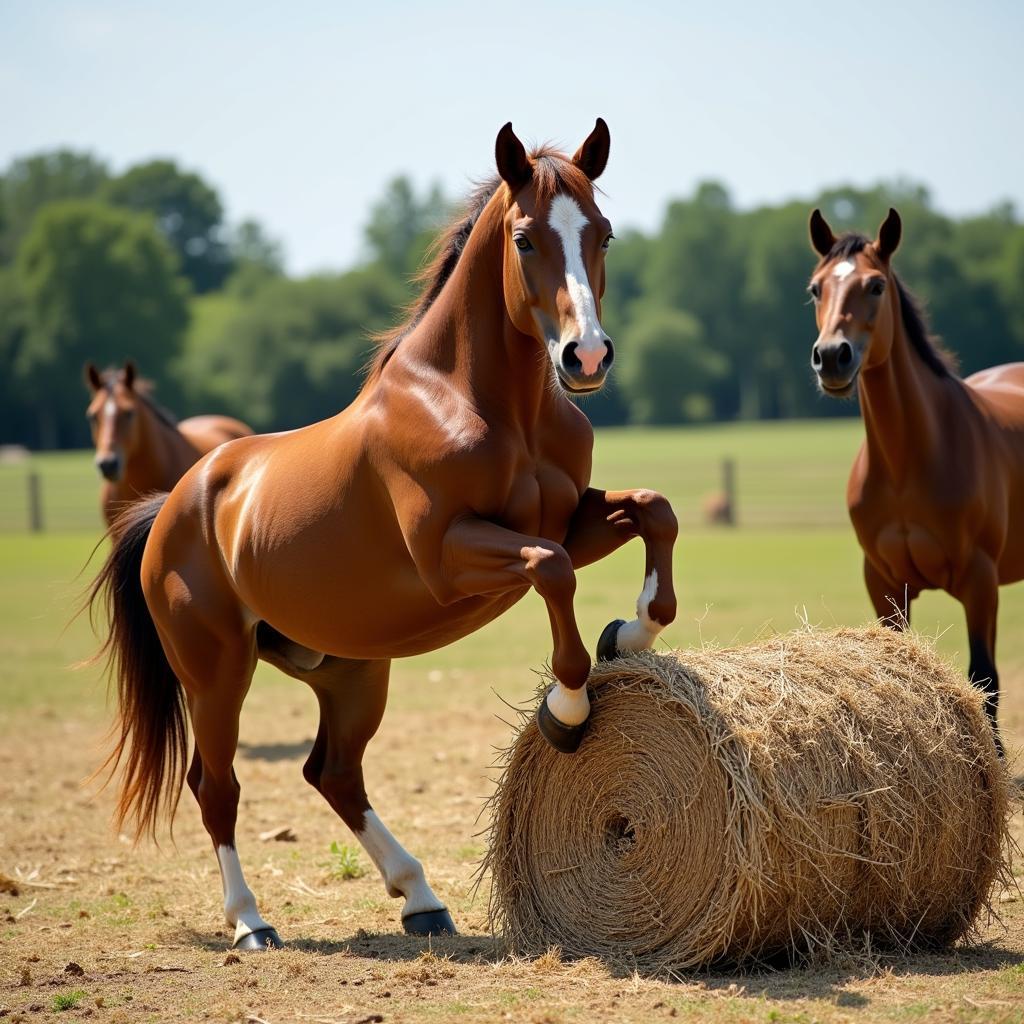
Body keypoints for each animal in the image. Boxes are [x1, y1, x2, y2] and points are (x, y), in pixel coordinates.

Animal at [806, 207, 1024, 753]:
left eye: (876, 285)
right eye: (816, 288)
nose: (832, 356)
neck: (909, 462)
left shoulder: (980, 581)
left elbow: (985, 679)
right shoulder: (884, 583)